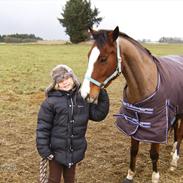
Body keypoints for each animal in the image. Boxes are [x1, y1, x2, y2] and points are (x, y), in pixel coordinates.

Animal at [80, 26, 183, 183]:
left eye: (103, 58)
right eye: (88, 56)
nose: (84, 94)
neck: (146, 83)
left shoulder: (156, 126)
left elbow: (154, 154)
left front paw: (155, 177)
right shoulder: (135, 121)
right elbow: (134, 150)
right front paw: (130, 175)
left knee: (180, 134)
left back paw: (174, 160)